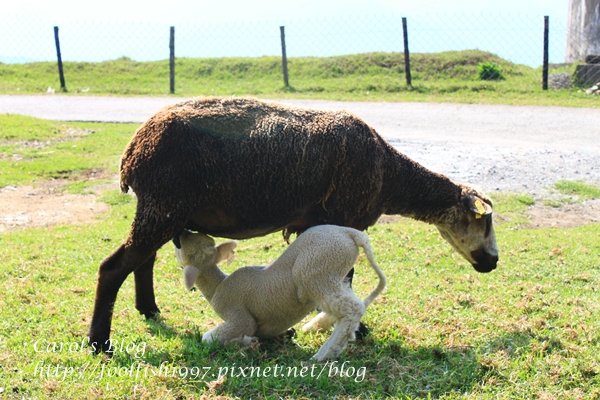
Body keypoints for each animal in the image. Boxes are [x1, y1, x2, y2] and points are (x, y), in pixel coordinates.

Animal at [176, 223, 386, 360]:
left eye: (186, 252)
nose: (182, 232)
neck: (218, 285)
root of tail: (350, 233)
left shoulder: (238, 315)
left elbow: (209, 338)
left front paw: (247, 342)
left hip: (318, 272)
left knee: (352, 308)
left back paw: (324, 354)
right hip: (335, 275)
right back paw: (317, 327)